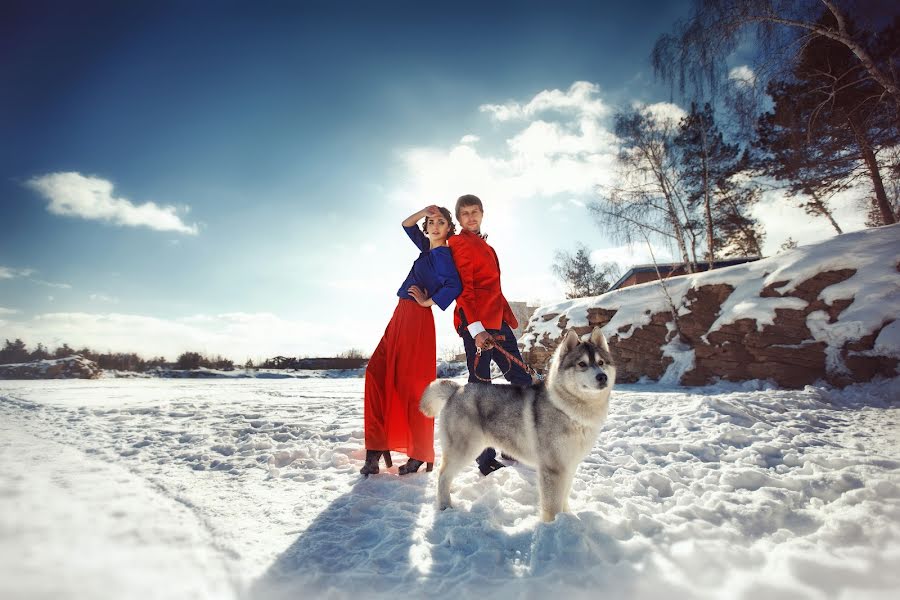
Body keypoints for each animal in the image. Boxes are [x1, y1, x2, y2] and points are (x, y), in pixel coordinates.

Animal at [420, 328, 616, 520]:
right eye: (582, 364)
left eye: (601, 362)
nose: (602, 377)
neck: (569, 410)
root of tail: (457, 389)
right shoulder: (553, 468)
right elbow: (553, 505)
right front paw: (555, 525)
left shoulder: (569, 465)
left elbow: (564, 497)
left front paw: (567, 519)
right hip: (465, 449)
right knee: (442, 475)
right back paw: (445, 505)